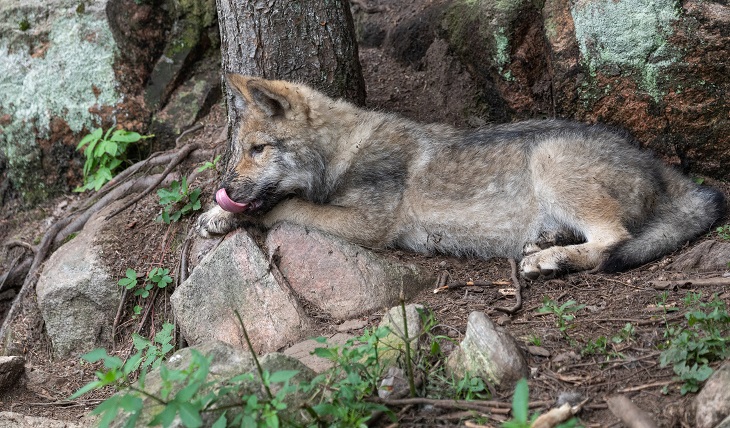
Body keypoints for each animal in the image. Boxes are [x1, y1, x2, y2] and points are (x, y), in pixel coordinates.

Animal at [196, 75, 724, 280]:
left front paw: (232, 214)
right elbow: (267, 205)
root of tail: (657, 162)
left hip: (549, 159)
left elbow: (287, 207)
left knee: (613, 242)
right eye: (239, 152)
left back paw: (548, 259)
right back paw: (545, 243)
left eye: (260, 150)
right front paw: (215, 217)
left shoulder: (366, 226)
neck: (343, 151)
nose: (226, 188)